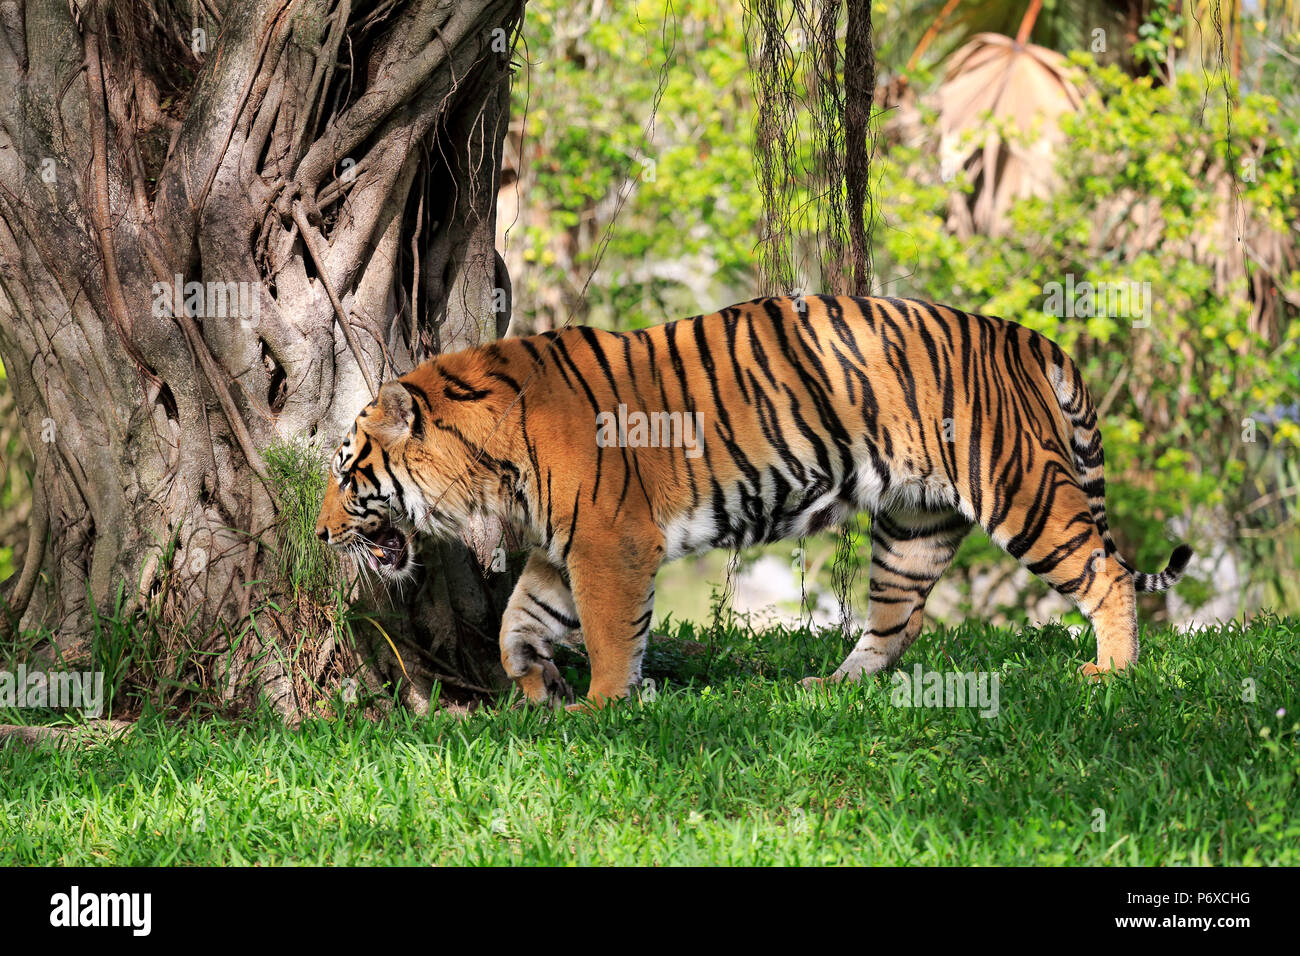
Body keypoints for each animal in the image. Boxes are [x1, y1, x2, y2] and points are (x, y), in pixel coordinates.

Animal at [312, 299, 1190, 712]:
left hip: (1019, 488)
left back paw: (1111, 671)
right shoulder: (565, 549)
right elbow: (516, 624)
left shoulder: (609, 542)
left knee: (1105, 572)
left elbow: (610, 632)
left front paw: (604, 704)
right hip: (914, 524)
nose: (320, 535)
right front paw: (537, 686)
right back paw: (830, 686)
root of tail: (1022, 334)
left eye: (349, 473)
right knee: (896, 623)